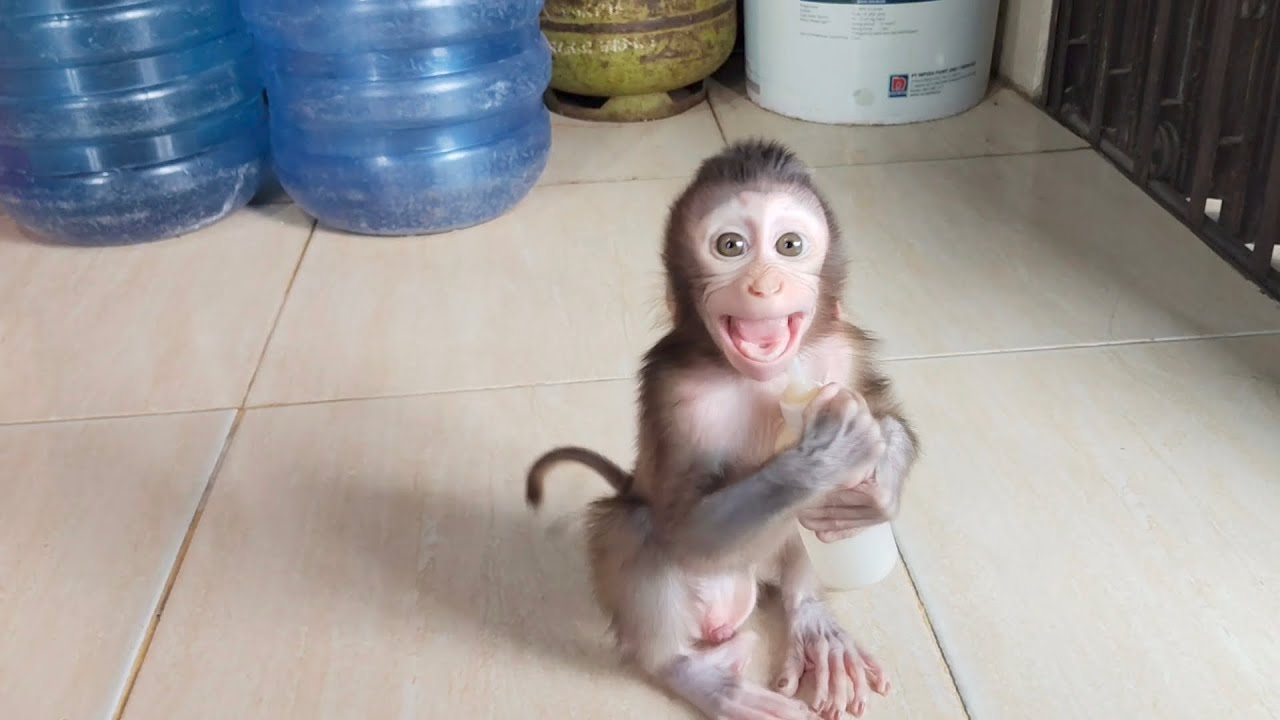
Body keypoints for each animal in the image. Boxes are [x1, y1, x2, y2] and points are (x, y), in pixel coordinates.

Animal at [526, 140, 918, 720]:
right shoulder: (674, 391)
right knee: (634, 524)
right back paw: (692, 673)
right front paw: (826, 455)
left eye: (790, 245)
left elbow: (883, 411)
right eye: (730, 246)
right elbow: (686, 532)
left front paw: (878, 488)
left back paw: (811, 619)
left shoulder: (840, 349)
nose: (765, 283)